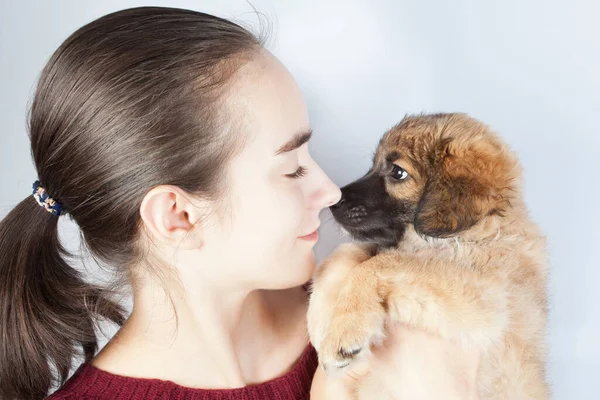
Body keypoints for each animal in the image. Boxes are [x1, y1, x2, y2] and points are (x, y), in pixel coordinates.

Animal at [310, 113, 548, 400]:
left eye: (397, 172)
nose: (333, 202)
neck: (471, 232)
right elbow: (347, 253)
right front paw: (319, 320)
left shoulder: (483, 296)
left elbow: (380, 263)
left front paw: (345, 328)